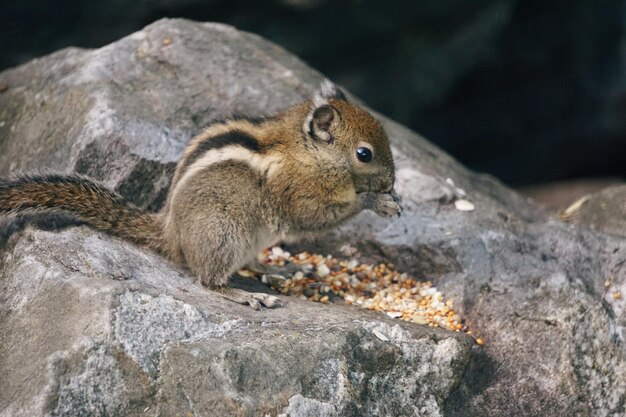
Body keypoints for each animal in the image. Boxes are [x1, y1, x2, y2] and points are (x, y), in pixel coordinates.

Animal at [0, 81, 400, 308]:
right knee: (208, 281)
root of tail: (171, 234)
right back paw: (247, 295)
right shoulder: (297, 191)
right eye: (364, 154)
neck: (304, 149)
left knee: (251, 265)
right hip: (224, 231)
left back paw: (283, 268)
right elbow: (313, 217)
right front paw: (376, 201)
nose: (391, 182)